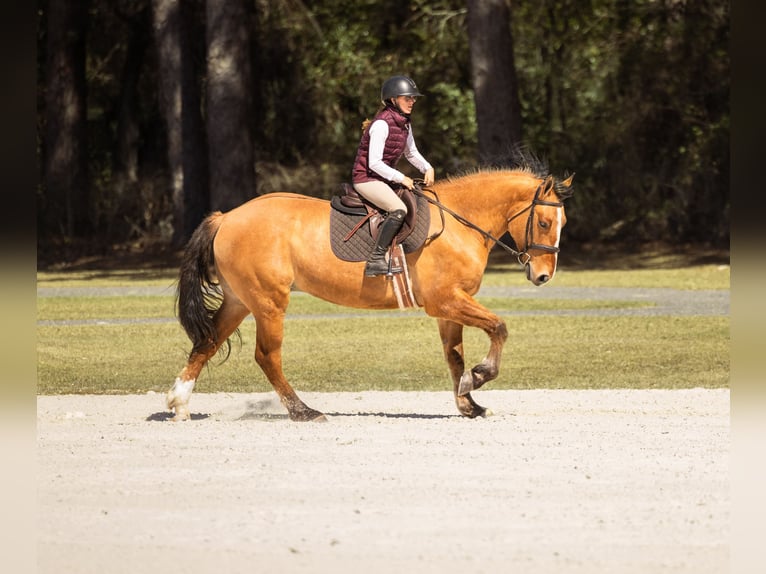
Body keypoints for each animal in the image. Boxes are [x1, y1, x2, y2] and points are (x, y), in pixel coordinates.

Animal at [167, 158, 574, 422]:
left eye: (562, 223)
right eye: (543, 222)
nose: (543, 276)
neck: (461, 223)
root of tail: (227, 217)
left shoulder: (449, 307)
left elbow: (454, 356)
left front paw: (467, 402)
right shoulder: (447, 301)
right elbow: (498, 328)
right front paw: (479, 376)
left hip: (240, 301)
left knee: (207, 342)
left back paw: (179, 403)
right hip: (268, 303)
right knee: (267, 356)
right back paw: (303, 411)